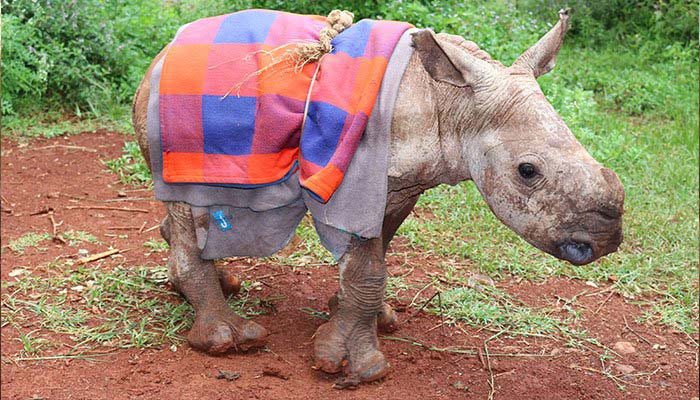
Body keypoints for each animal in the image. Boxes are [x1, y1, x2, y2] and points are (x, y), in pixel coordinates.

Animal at [132, 9, 623, 386]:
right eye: (527, 172)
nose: (605, 240)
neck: (451, 103)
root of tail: (158, 57)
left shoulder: (403, 184)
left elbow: (376, 255)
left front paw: (368, 318)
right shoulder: (357, 180)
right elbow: (368, 269)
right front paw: (354, 368)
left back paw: (218, 287)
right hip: (175, 120)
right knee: (188, 203)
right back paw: (229, 340)